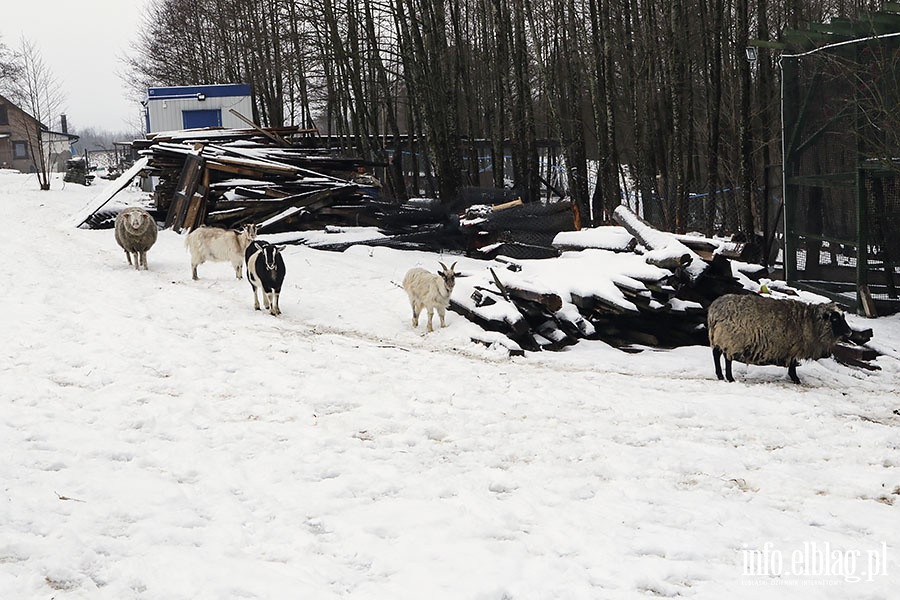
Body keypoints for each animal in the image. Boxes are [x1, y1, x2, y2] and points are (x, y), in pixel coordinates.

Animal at [712, 294, 852, 384]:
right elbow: (792, 364)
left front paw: (794, 378)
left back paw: (720, 375)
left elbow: (792, 363)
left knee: (716, 354)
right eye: (834, 318)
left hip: (720, 337)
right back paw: (729, 378)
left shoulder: (791, 347)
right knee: (727, 358)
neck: (811, 322)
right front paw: (796, 379)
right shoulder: (794, 346)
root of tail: (715, 310)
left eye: (843, 316)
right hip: (731, 338)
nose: (850, 332)